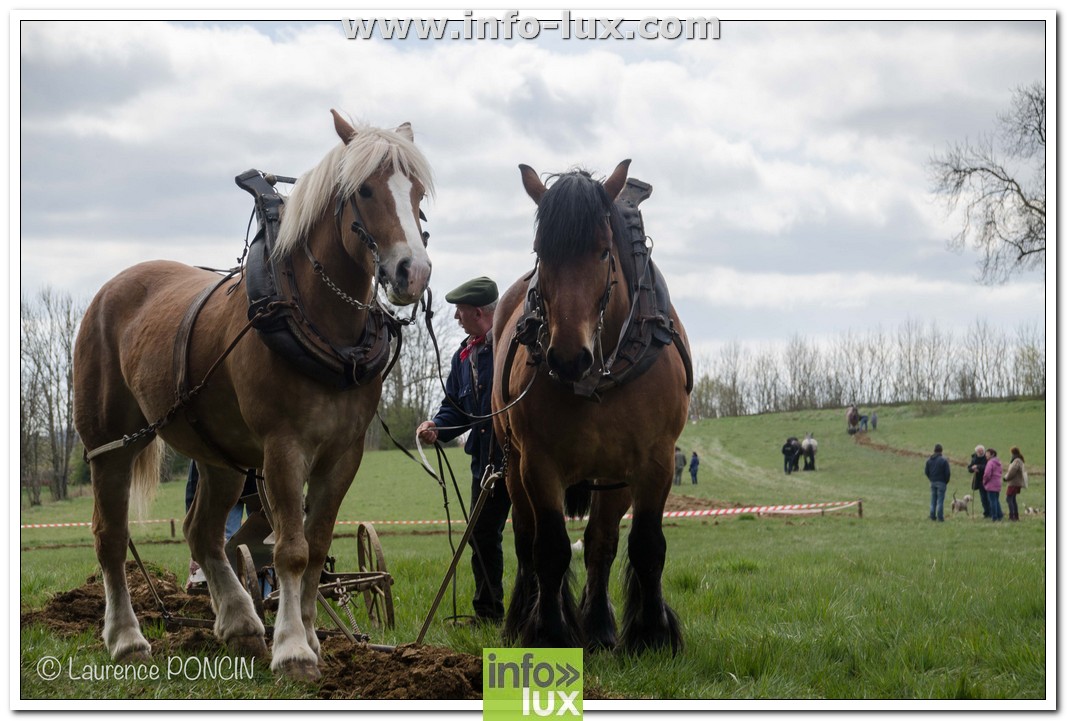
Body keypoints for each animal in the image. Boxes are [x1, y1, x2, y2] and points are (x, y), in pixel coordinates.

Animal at [74, 109, 433, 678]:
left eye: (417, 190)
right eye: (365, 189)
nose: (412, 272)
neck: (319, 322)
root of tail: (111, 288)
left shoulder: (343, 453)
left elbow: (316, 544)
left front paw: (311, 637)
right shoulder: (283, 447)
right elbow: (289, 549)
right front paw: (292, 649)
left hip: (219, 456)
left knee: (203, 532)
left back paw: (241, 622)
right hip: (110, 445)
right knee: (110, 538)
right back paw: (127, 638)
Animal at [492, 158, 691, 652]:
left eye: (603, 252)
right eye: (541, 252)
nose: (567, 357)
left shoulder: (655, 460)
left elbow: (645, 544)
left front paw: (651, 634)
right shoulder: (538, 463)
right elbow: (549, 548)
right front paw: (548, 631)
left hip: (612, 474)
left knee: (601, 540)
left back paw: (599, 627)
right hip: (511, 465)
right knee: (526, 539)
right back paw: (522, 616)